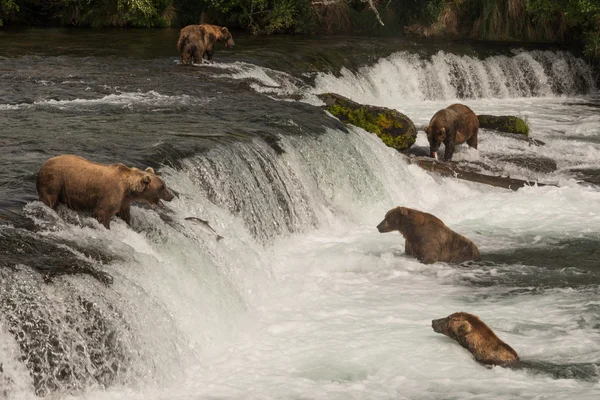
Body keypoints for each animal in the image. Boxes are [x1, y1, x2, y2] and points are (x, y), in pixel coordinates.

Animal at [36, 155, 175, 230]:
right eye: (162, 186)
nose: (172, 196)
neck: (128, 188)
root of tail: (43, 165)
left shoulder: (123, 200)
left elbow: (124, 214)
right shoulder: (112, 193)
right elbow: (102, 213)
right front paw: (107, 227)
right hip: (55, 181)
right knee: (49, 199)